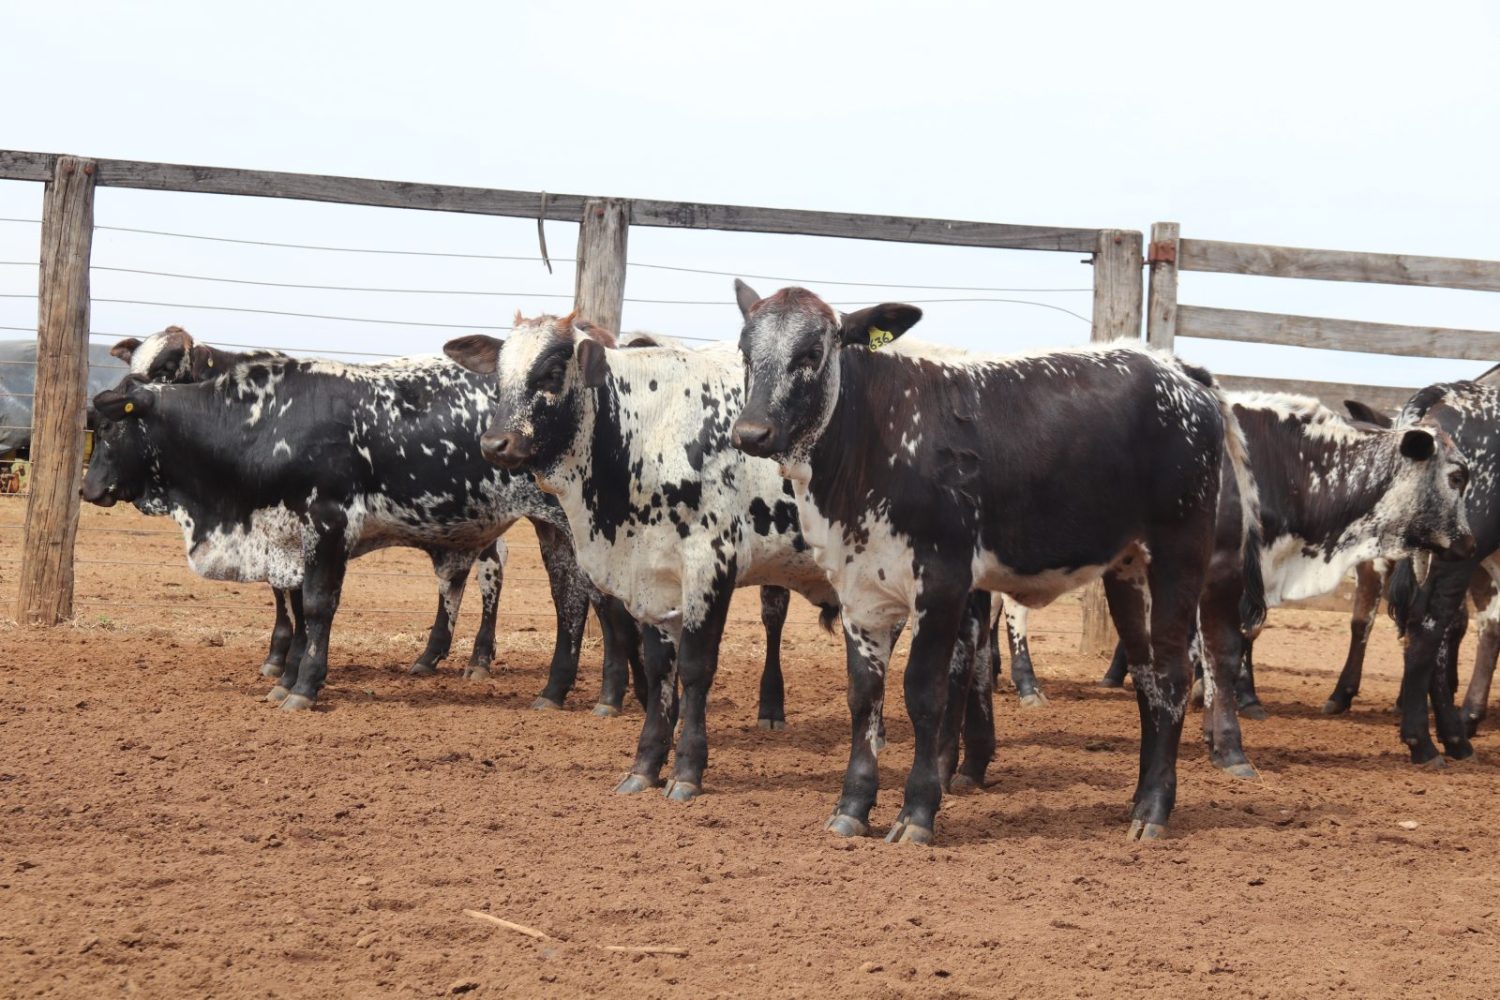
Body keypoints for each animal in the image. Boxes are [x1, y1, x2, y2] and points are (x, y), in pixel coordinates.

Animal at [79, 352, 609, 710]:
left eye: (112, 429)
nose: (89, 489)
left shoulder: (328, 527)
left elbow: (316, 607)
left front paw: (305, 686)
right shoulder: (289, 540)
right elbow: (296, 607)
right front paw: (285, 679)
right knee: (568, 599)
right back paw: (556, 689)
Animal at [441, 316, 846, 803]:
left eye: (552, 373)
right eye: (500, 375)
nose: (495, 443)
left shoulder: (711, 566)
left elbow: (694, 668)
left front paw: (687, 770)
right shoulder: (651, 579)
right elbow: (658, 672)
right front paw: (646, 766)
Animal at [729, 281, 1254, 845]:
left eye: (811, 353)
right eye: (745, 351)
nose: (751, 432)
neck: (878, 436)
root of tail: (1176, 370)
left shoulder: (942, 580)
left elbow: (925, 693)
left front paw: (916, 813)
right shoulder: (859, 588)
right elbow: (864, 695)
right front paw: (852, 805)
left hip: (1180, 555)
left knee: (1176, 672)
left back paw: (1155, 810)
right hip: (1128, 569)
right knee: (1147, 675)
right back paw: (1138, 800)